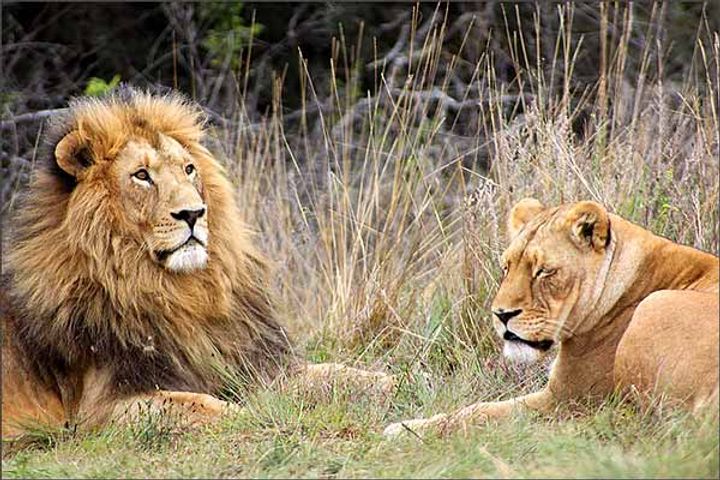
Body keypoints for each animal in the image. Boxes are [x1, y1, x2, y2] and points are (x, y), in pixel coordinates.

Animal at [2, 88, 392, 439]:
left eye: (189, 169)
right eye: (141, 175)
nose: (193, 213)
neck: (182, 293)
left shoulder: (255, 363)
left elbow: (340, 374)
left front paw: (393, 379)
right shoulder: (101, 410)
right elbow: (200, 404)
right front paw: (256, 415)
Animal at [384, 198, 719, 437]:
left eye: (543, 271)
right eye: (506, 267)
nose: (502, 314)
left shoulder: (566, 397)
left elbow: (477, 411)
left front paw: (404, 429)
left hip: (654, 309)